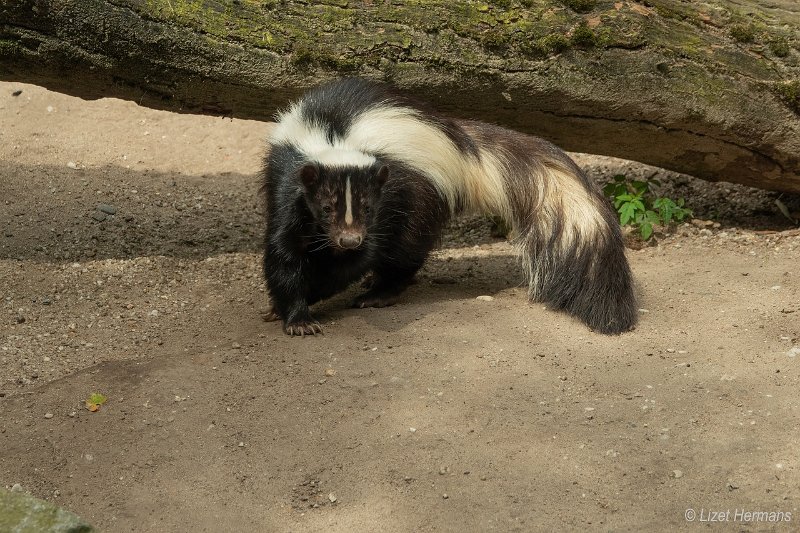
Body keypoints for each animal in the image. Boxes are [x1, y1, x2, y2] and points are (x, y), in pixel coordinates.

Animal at [262, 77, 636, 334]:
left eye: (367, 208)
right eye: (326, 208)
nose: (348, 240)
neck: (336, 140)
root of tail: (464, 146)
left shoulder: (390, 195)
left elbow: (356, 260)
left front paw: (312, 295)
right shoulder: (288, 184)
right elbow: (284, 250)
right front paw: (294, 313)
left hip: (422, 196)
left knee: (407, 249)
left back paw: (380, 292)